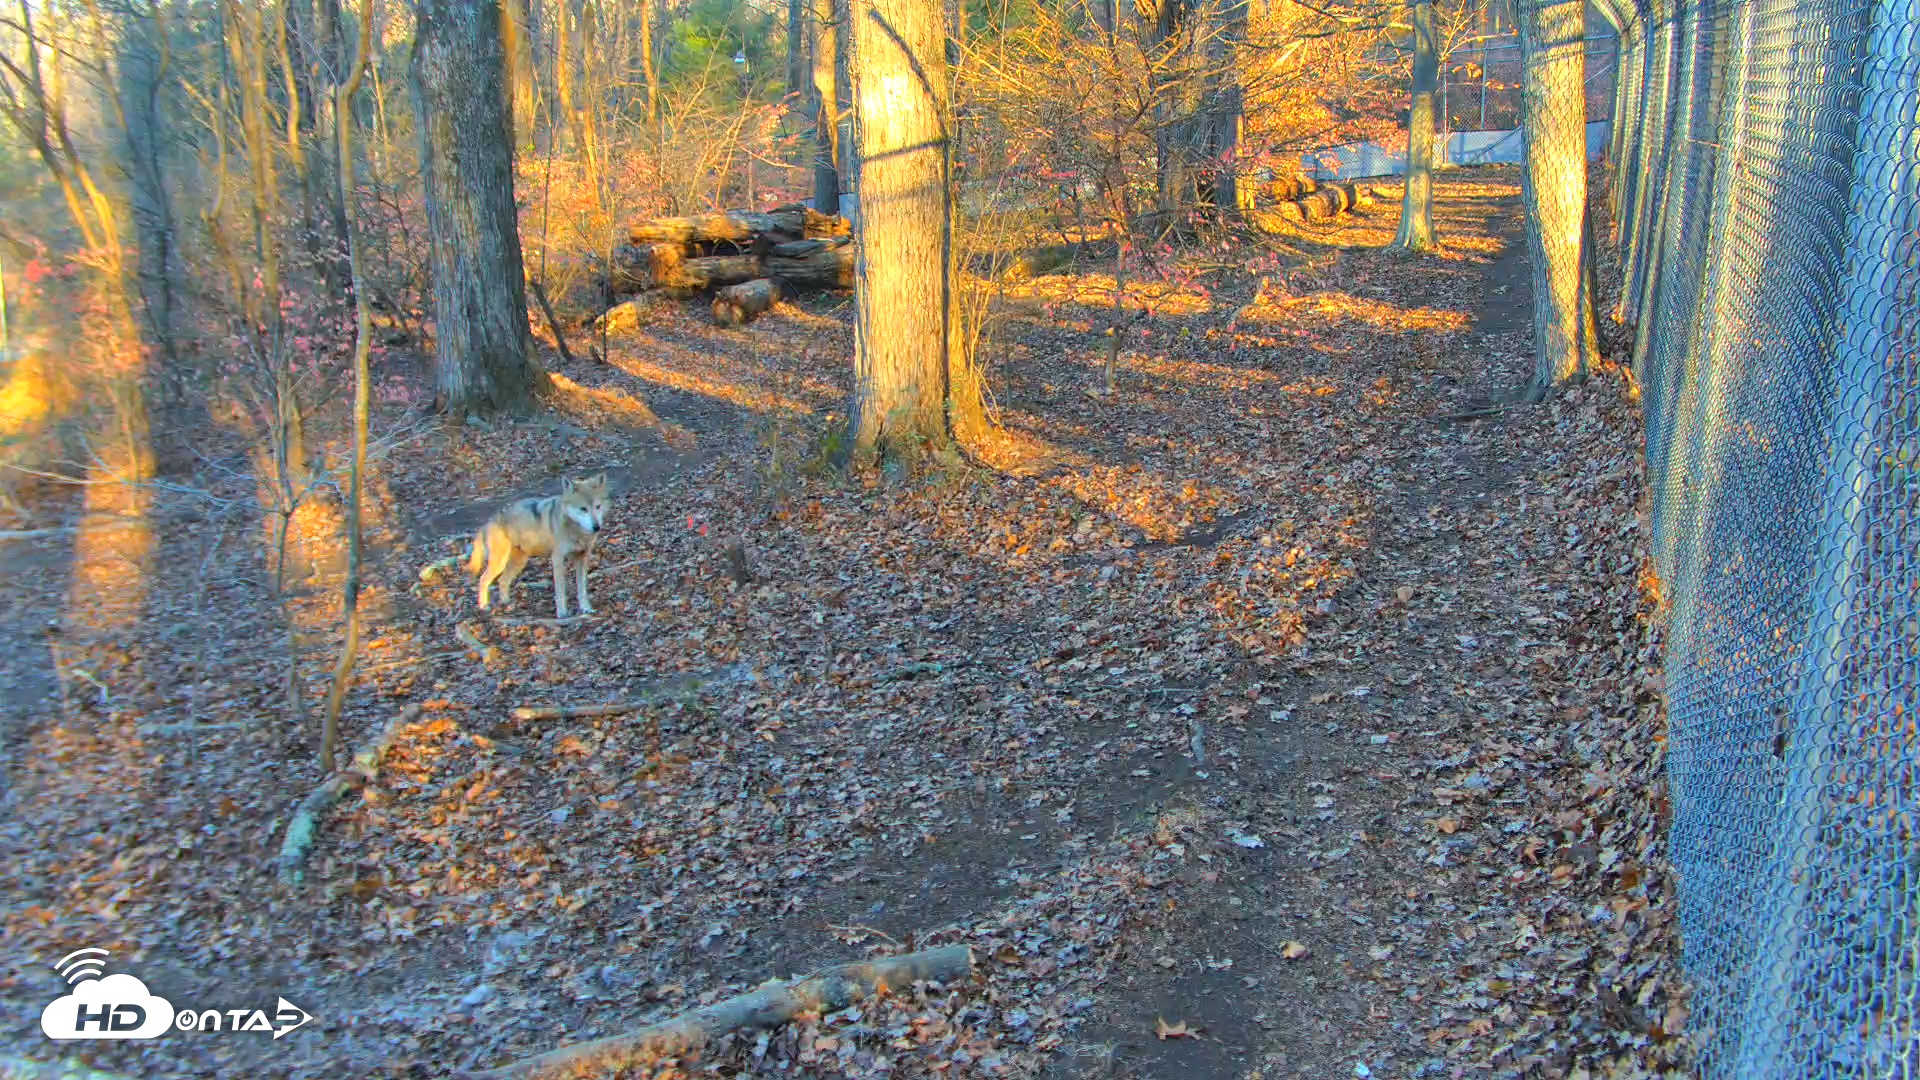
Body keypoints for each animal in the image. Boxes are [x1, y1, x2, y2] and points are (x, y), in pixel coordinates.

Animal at [466, 474, 610, 618]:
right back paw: (484, 606)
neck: (575, 530)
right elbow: (560, 590)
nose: (596, 527)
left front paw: (586, 608)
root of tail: (489, 521)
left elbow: (582, 589)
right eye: (583, 509)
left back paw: (507, 604)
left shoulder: (582, 557)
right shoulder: (557, 559)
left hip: (519, 563)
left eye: (598, 506)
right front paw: (562, 613)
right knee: (483, 579)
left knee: (502, 580)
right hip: (500, 563)